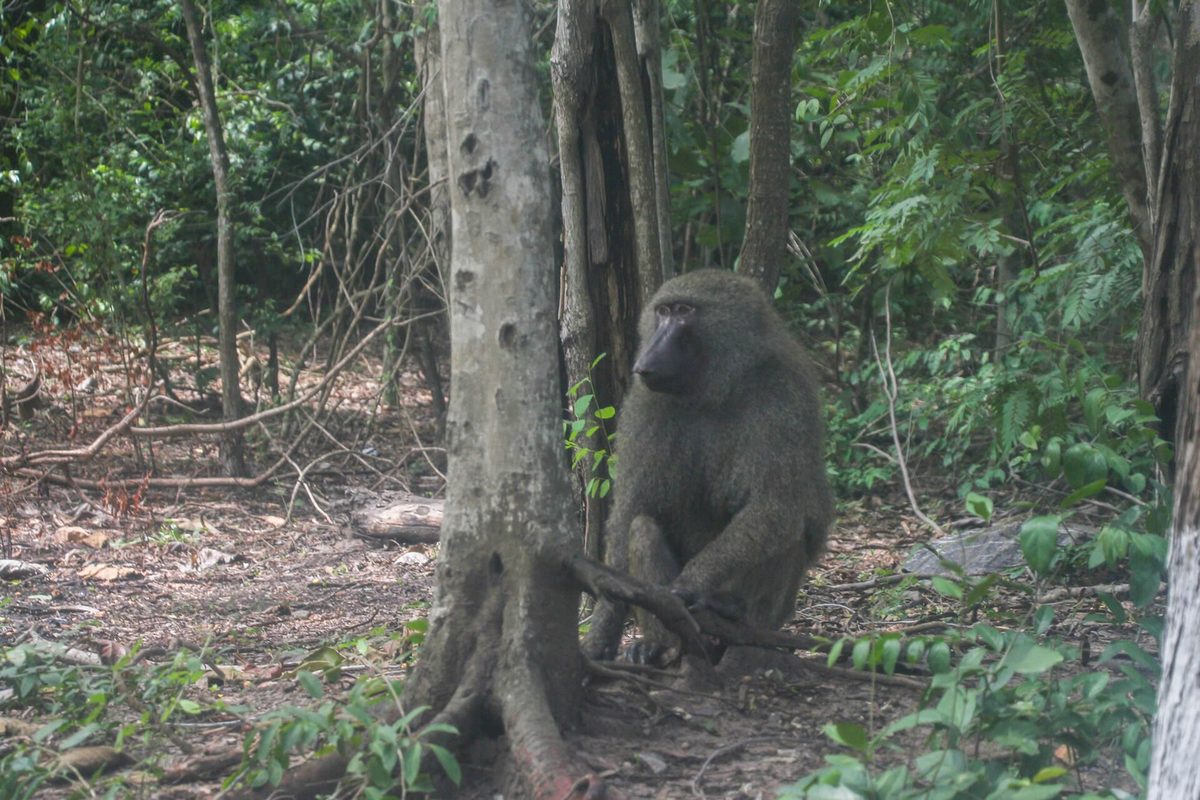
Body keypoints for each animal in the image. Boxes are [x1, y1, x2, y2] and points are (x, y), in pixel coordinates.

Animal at [581, 269, 832, 666]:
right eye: (663, 311)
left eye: (685, 311)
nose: (646, 360)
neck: (712, 389)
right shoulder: (644, 405)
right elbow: (629, 513)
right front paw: (600, 636)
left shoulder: (784, 397)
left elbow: (775, 506)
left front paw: (689, 585)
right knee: (642, 527)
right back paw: (662, 644)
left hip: (772, 617)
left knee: (786, 530)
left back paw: (732, 611)